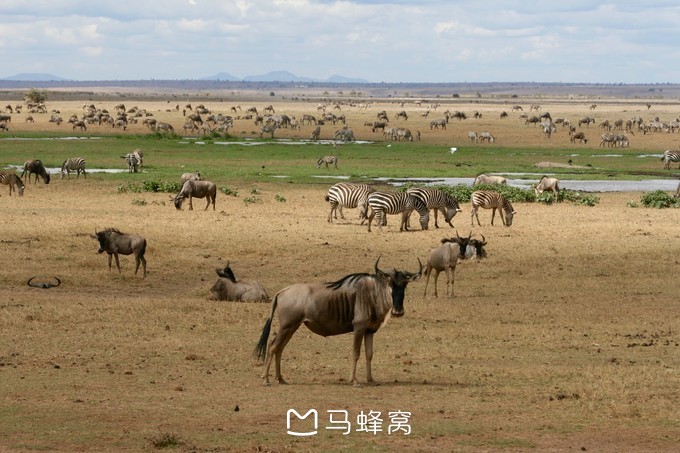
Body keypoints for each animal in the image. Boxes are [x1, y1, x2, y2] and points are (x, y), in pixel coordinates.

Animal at [258, 258, 422, 384]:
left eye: (405, 284)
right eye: (390, 283)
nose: (398, 311)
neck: (372, 295)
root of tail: (282, 291)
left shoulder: (370, 331)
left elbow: (369, 354)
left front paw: (371, 380)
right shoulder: (359, 328)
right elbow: (356, 353)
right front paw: (354, 381)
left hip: (292, 327)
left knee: (279, 348)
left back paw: (280, 379)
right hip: (287, 326)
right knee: (273, 346)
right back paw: (266, 380)